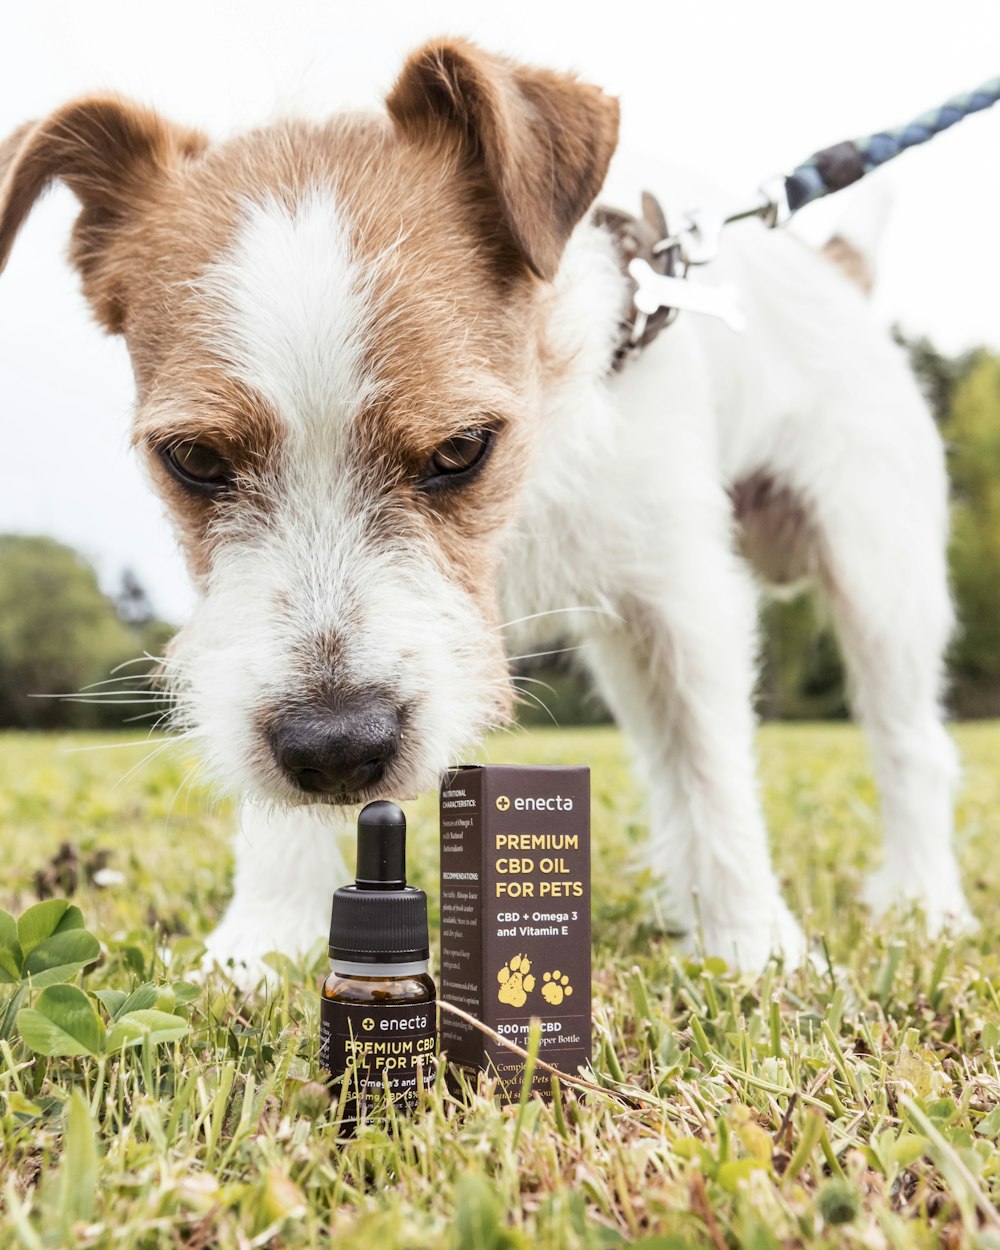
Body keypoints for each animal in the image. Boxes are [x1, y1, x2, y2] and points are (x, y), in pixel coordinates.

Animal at [0, 39, 975, 980]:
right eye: (195, 460)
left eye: (462, 447)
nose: (338, 750)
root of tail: (836, 271)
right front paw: (263, 943)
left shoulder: (680, 597)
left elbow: (712, 771)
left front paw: (752, 947)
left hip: (880, 573)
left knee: (908, 746)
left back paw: (924, 902)